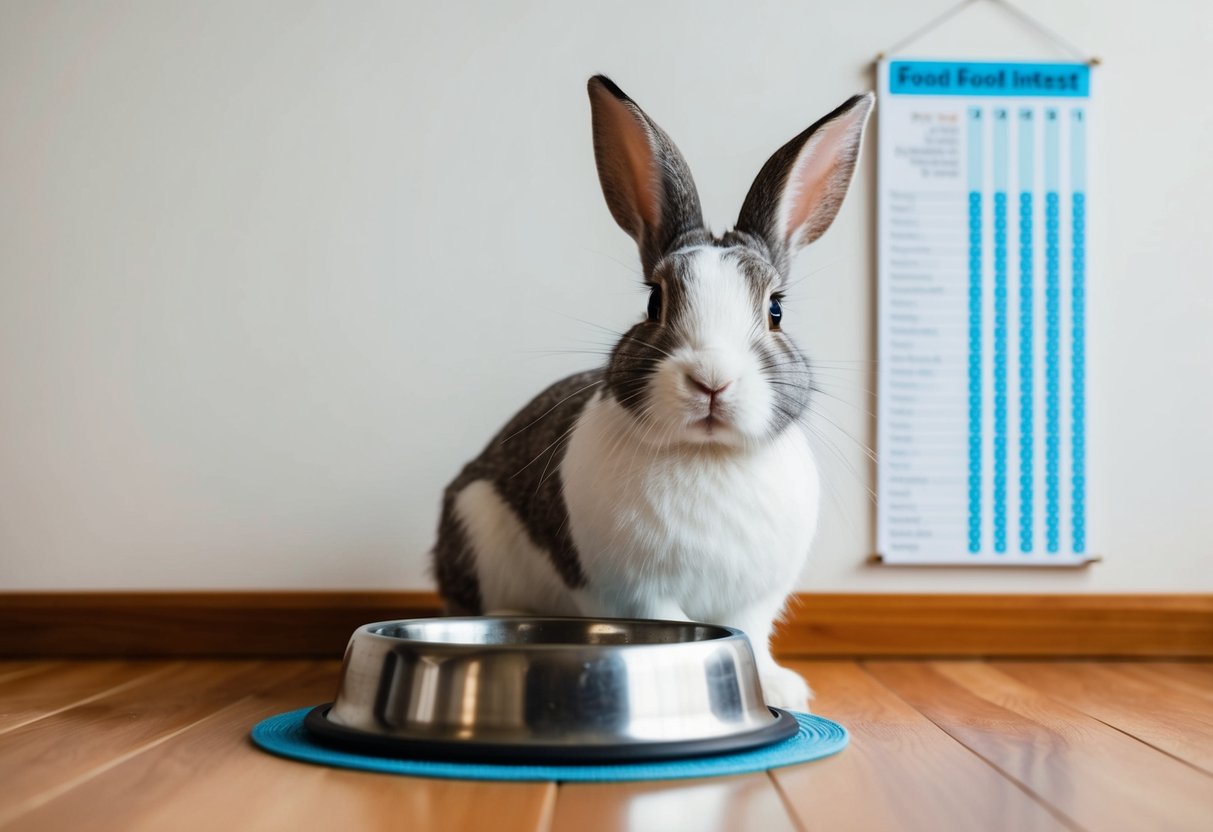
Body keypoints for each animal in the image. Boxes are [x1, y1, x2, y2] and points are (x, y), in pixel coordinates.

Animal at [432, 75, 874, 710]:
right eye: (653, 302)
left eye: (776, 311)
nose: (712, 379)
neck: (707, 456)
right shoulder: (634, 591)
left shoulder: (754, 599)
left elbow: (751, 636)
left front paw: (776, 688)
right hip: (475, 529)